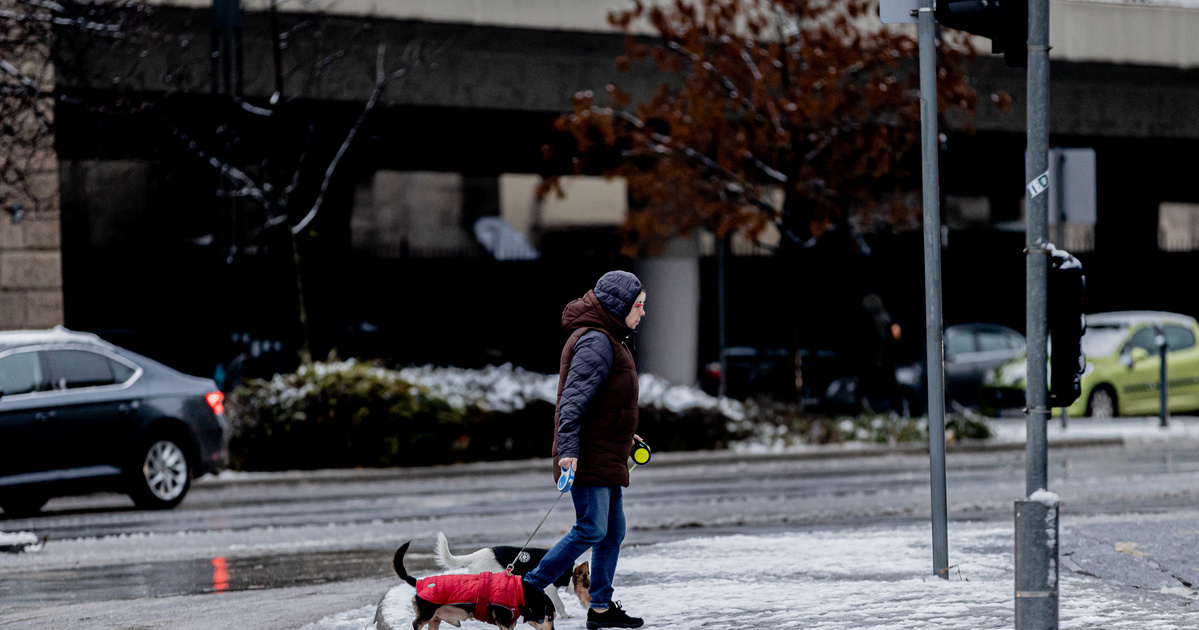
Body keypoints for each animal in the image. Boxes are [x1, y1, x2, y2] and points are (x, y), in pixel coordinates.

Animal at [395, 540, 558, 628]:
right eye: (549, 617)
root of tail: (419, 582)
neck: (519, 591)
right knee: (416, 624)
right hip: (427, 614)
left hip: (434, 620)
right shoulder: (503, 621)